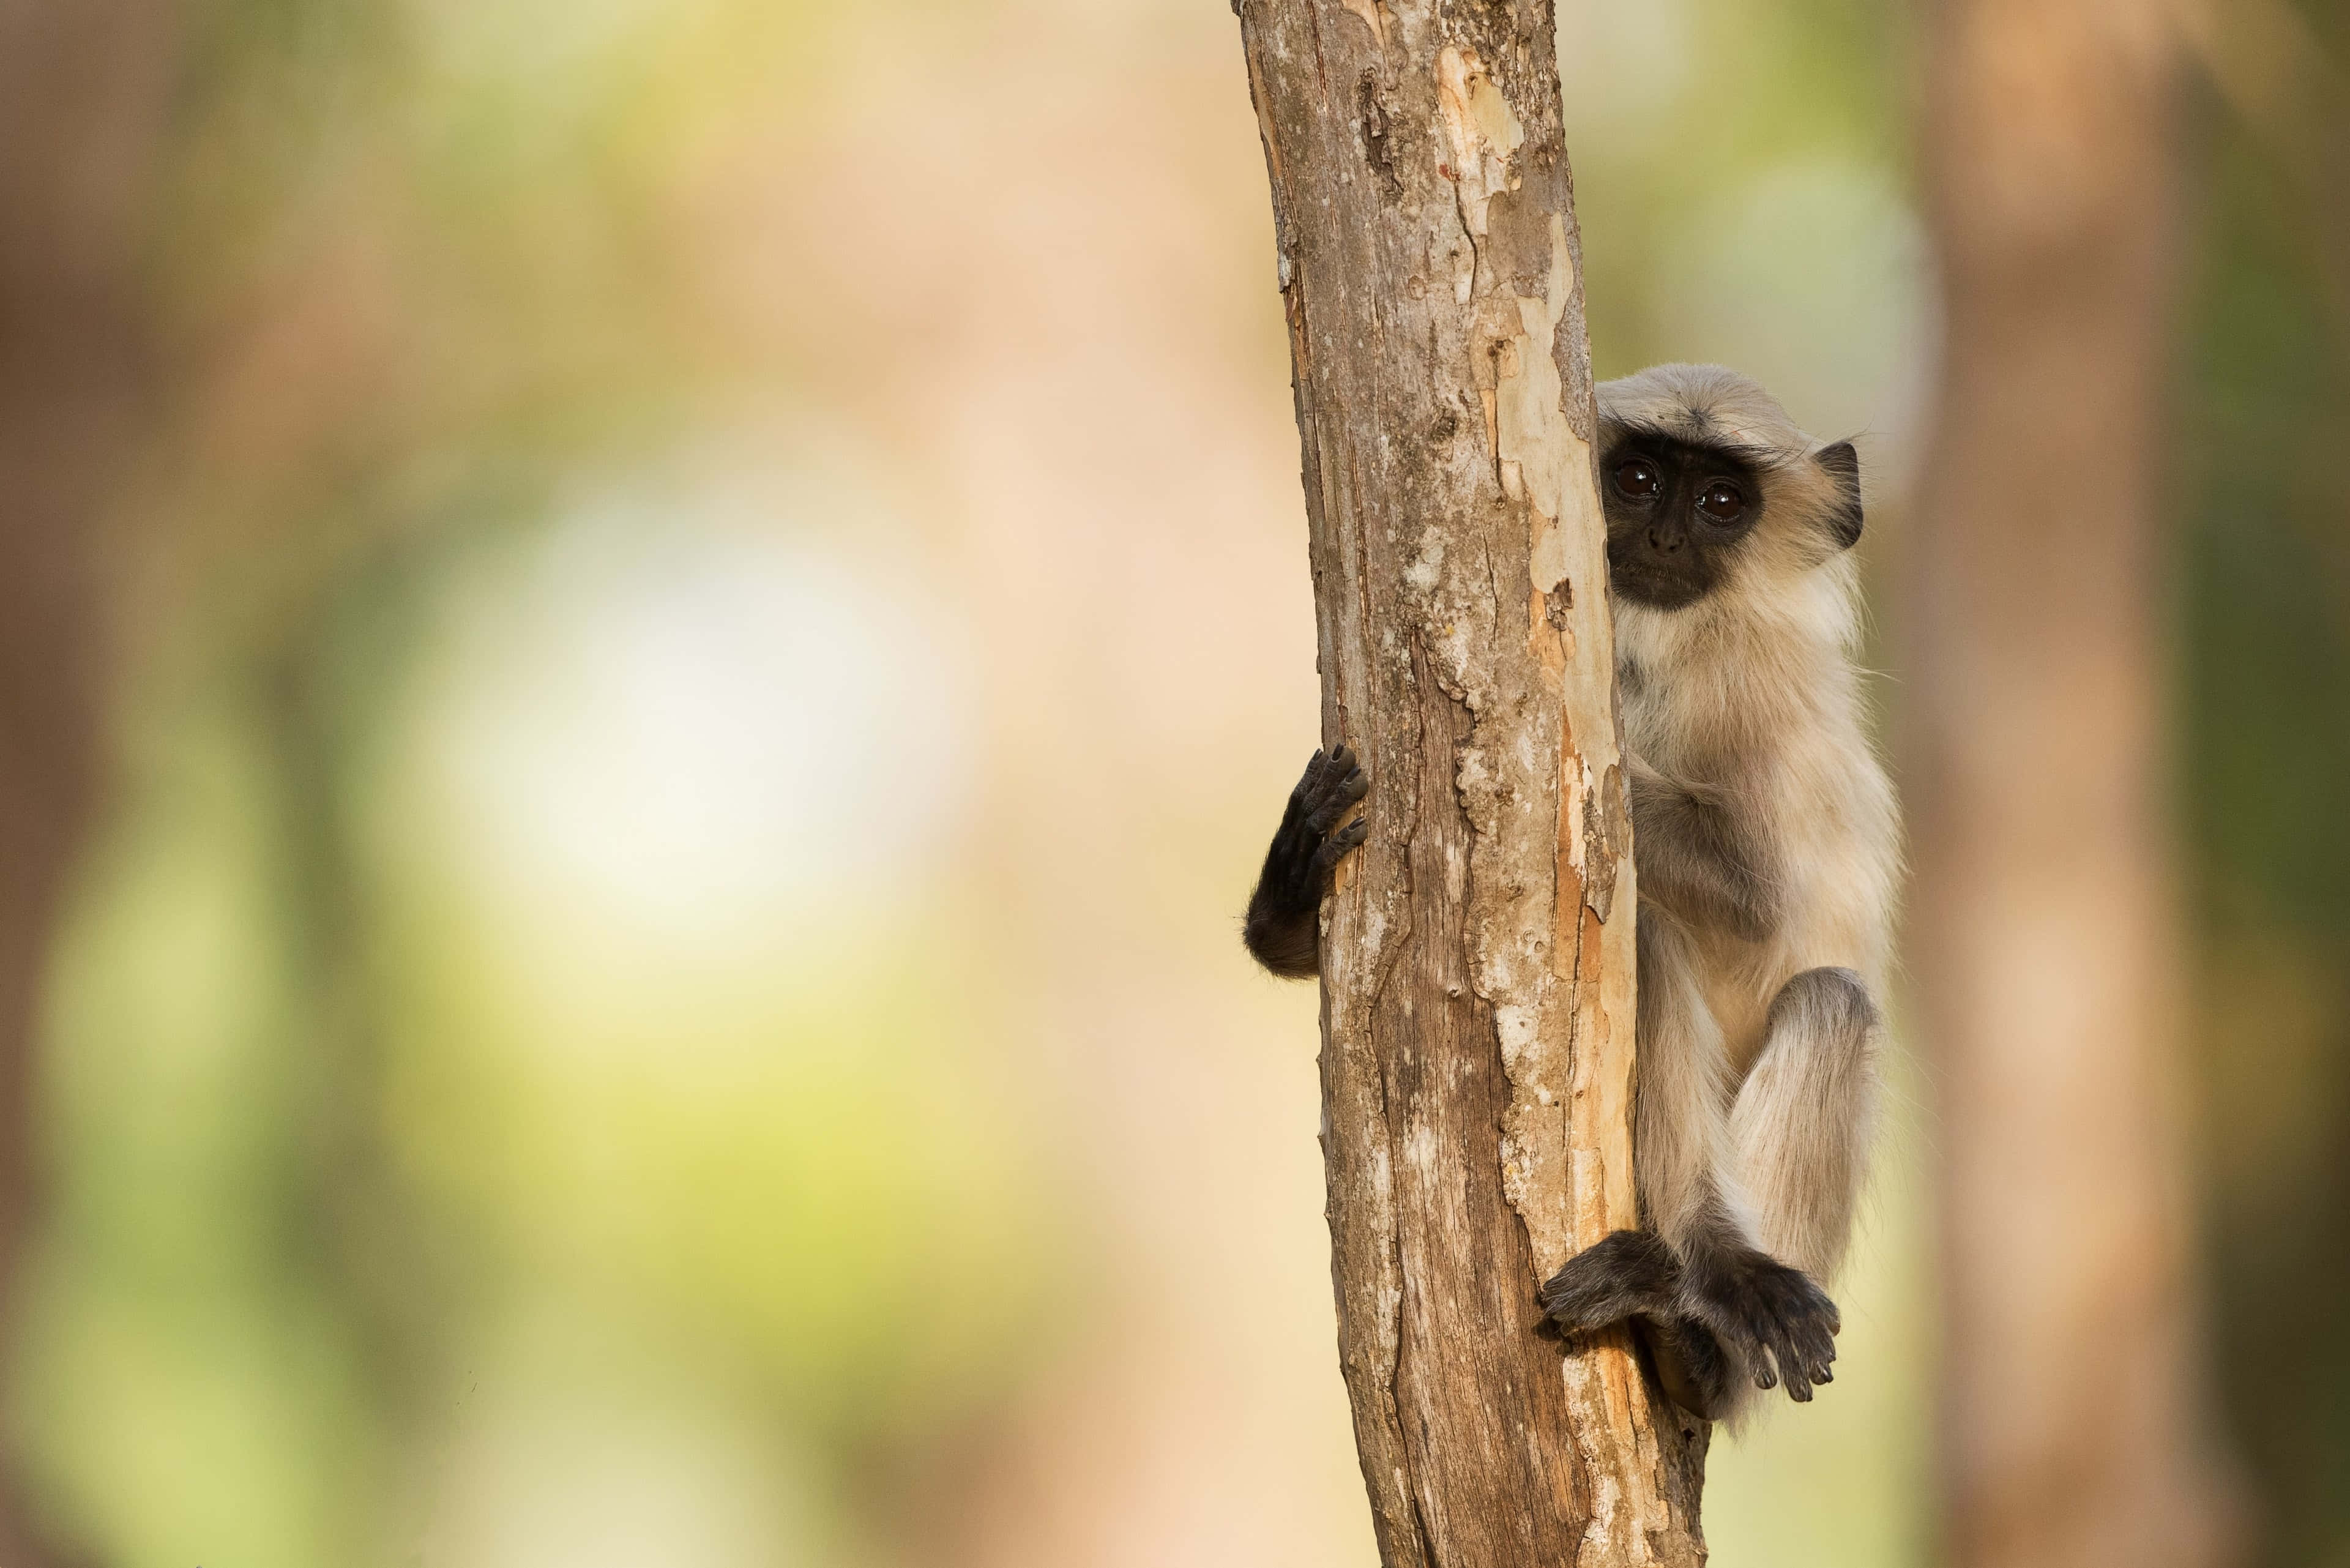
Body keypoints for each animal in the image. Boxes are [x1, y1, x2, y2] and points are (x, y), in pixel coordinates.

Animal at [1241, 363, 1899, 1424]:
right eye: (1637, 480)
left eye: (1722, 502)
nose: (1665, 538)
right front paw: (1296, 880)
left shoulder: (1750, 684)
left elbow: (1756, 899)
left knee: (1806, 989)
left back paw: (1706, 1298)